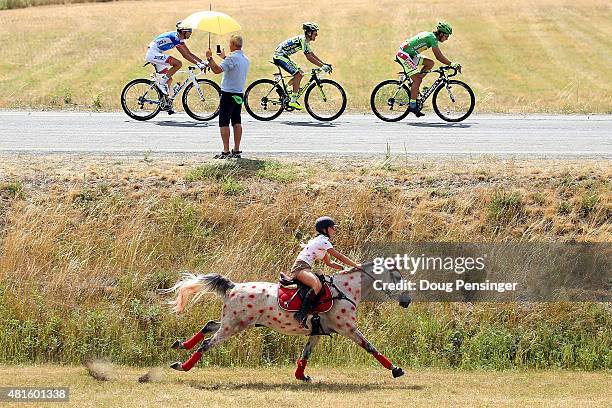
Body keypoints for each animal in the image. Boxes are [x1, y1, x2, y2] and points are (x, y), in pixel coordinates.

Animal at [161, 262, 412, 380]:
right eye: (397, 277)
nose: (407, 300)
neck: (346, 290)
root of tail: (233, 286)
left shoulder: (317, 332)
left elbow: (305, 355)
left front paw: (301, 376)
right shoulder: (349, 328)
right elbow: (371, 348)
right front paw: (396, 369)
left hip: (233, 322)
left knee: (209, 325)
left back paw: (181, 344)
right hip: (234, 326)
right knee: (207, 343)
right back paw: (183, 365)